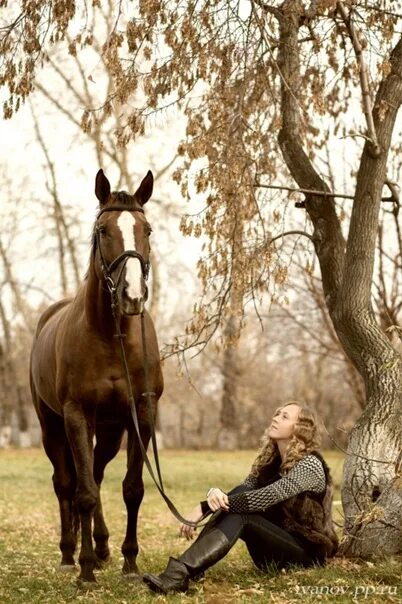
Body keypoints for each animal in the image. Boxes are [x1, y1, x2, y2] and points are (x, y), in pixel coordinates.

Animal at [28, 170, 164, 584]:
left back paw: (102, 547)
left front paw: (130, 564)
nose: (132, 296)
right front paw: (85, 569)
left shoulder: (142, 415)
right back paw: (70, 553)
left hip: (108, 432)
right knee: (67, 484)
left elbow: (132, 489)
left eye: (147, 230)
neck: (110, 336)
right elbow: (82, 492)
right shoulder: (75, 415)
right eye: (103, 230)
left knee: (98, 476)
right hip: (52, 426)